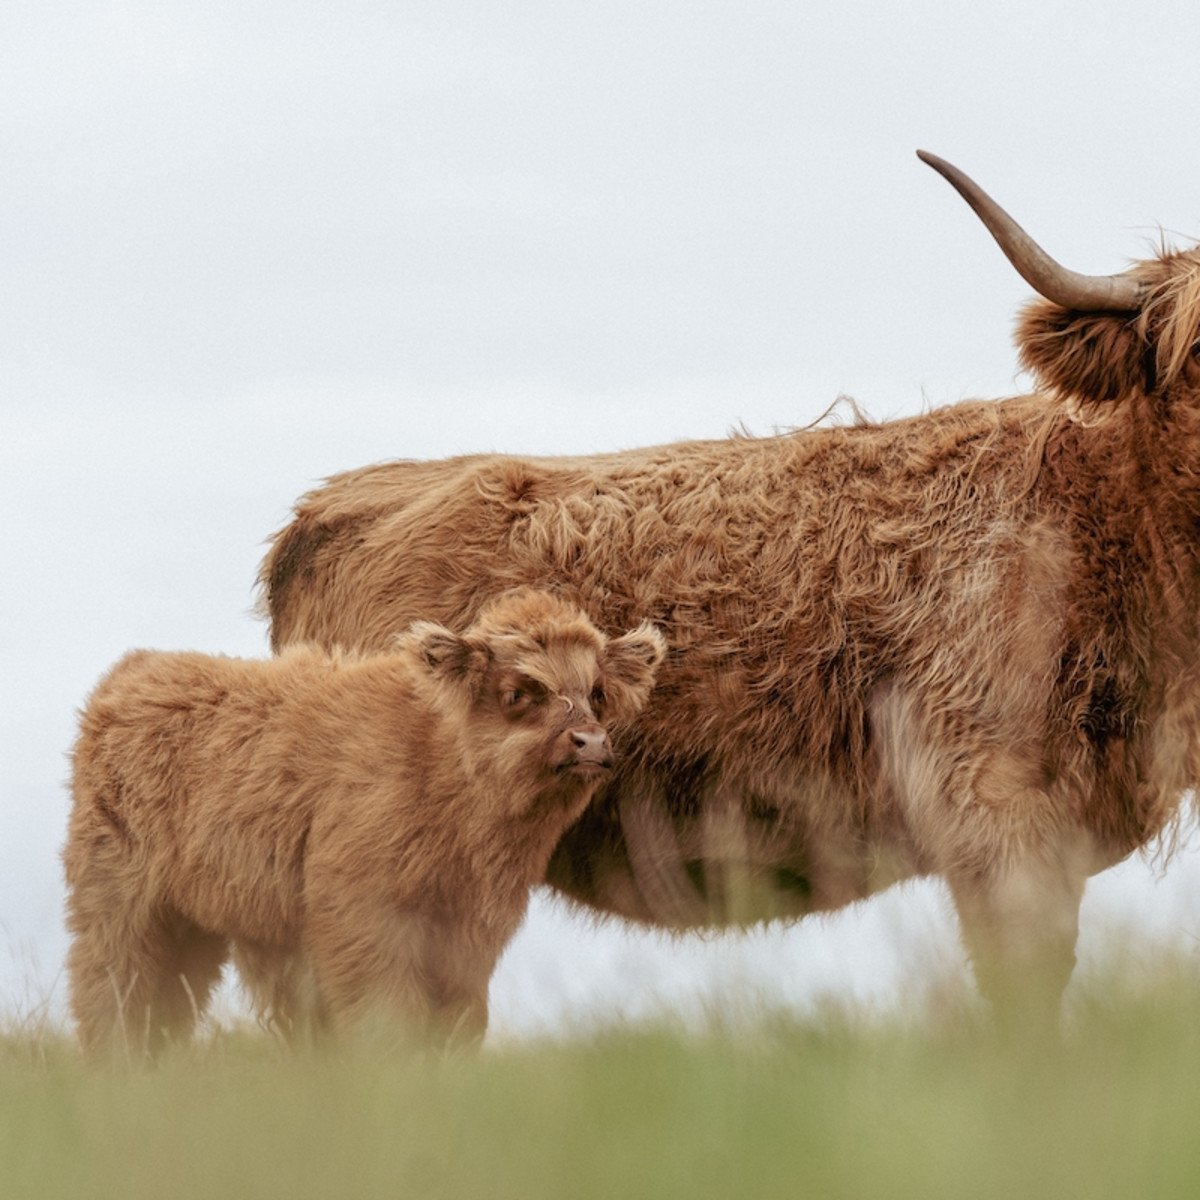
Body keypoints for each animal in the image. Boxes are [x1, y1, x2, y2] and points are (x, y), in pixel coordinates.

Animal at [64, 589, 666, 1057]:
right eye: (518, 692)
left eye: (596, 692)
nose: (590, 742)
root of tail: (136, 670)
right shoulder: (366, 918)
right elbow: (388, 1021)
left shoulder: (470, 932)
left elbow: (460, 1024)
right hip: (121, 904)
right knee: (113, 994)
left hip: (198, 921)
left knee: (166, 1007)